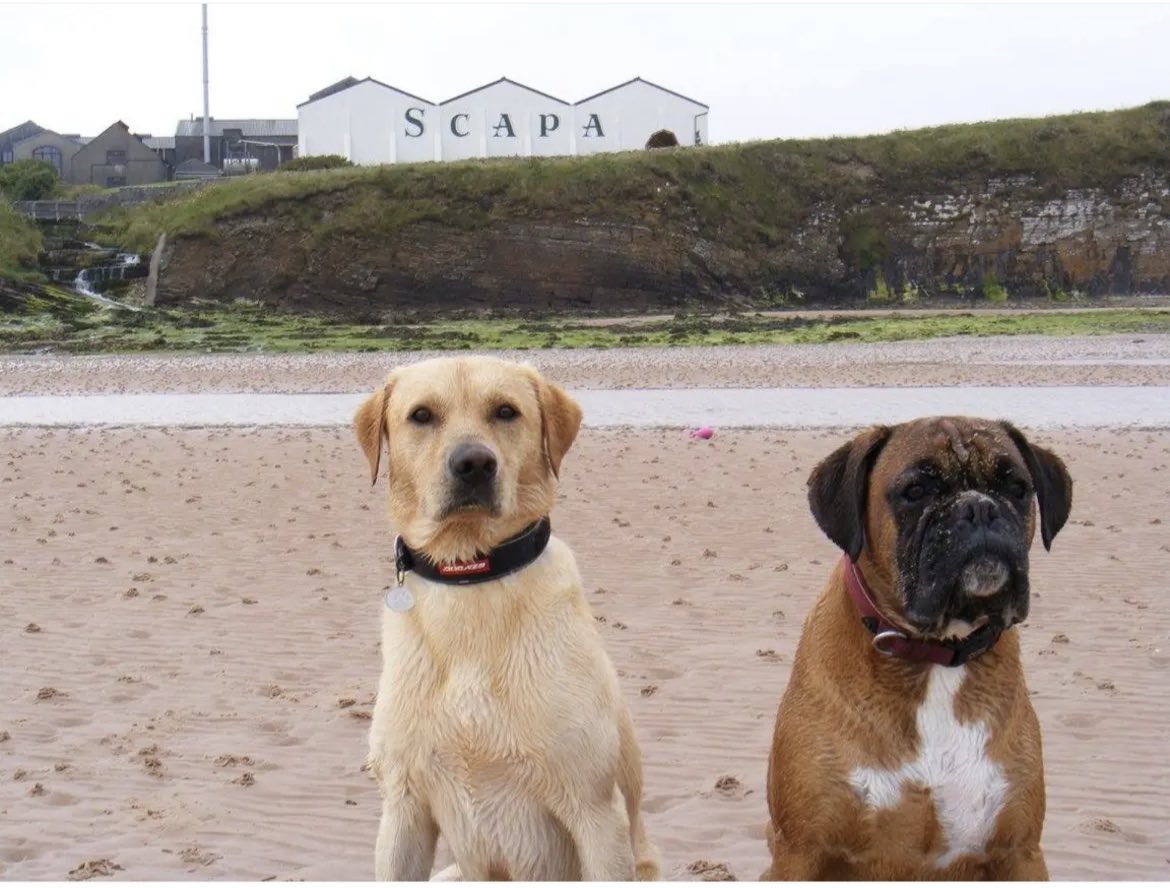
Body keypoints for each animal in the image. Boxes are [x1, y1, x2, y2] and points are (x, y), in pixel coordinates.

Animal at [762, 416, 1071, 884]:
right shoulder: (800, 852)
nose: (978, 507)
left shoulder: (1020, 853)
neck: (934, 655)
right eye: (916, 490)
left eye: (1017, 488)